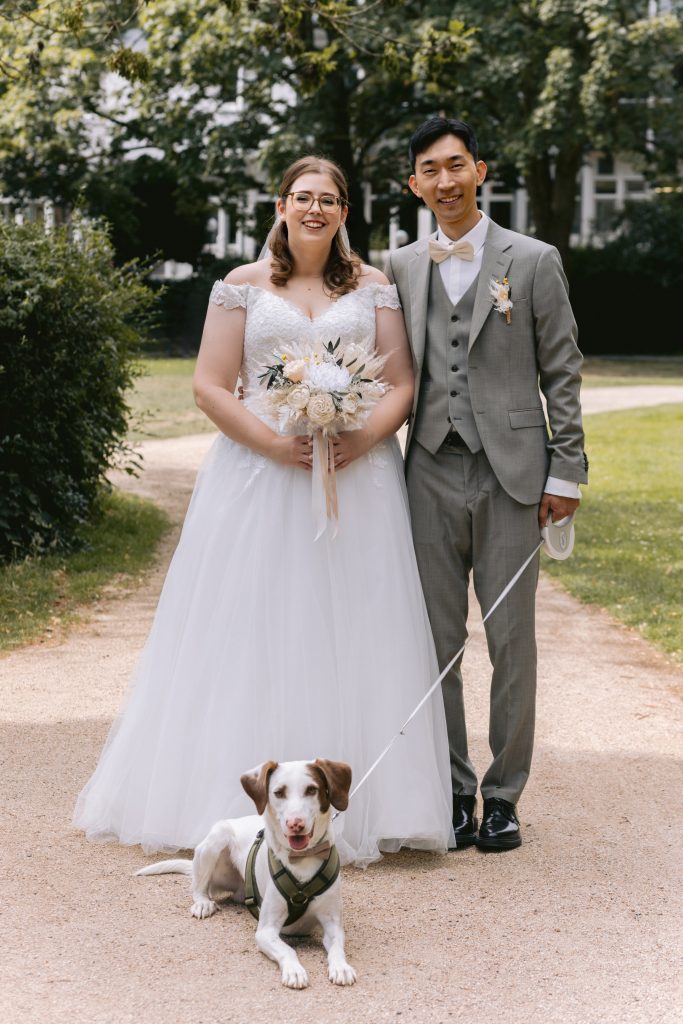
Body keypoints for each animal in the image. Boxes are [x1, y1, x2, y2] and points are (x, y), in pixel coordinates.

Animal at [136, 757, 356, 987]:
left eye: (312, 789)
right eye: (279, 792)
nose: (295, 824)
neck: (302, 859)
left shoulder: (333, 924)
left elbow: (337, 948)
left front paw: (341, 967)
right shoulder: (266, 931)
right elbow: (288, 950)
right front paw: (294, 970)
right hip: (217, 837)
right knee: (199, 887)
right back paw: (203, 903)